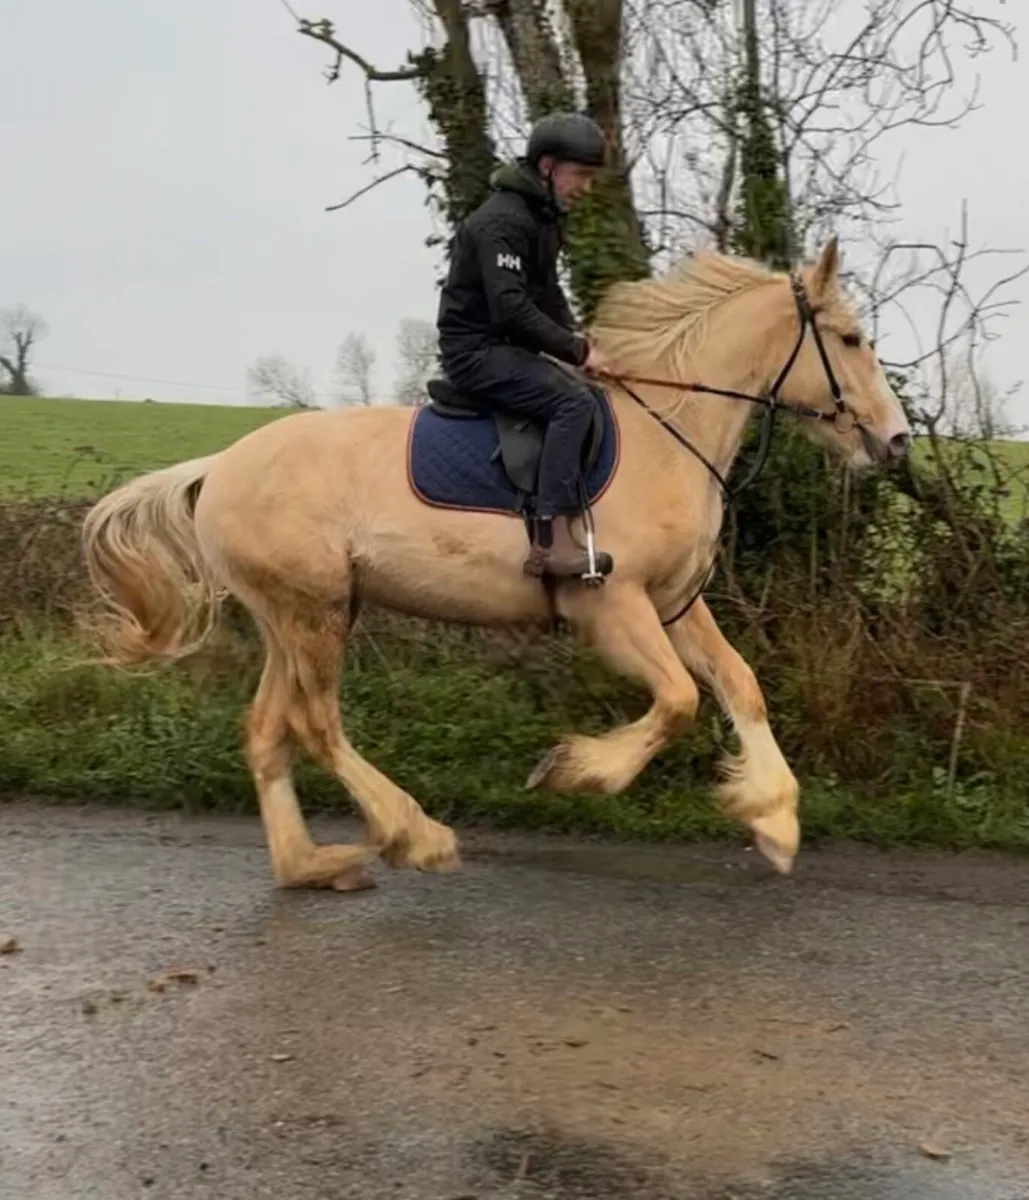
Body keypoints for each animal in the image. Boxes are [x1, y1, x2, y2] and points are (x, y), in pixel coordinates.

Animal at [80, 237, 910, 892]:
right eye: (849, 338)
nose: (896, 440)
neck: (666, 432)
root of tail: (218, 466)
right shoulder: (610, 604)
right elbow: (677, 700)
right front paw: (575, 771)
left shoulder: (675, 601)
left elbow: (739, 685)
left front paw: (773, 820)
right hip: (309, 612)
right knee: (316, 724)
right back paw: (414, 837)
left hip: (301, 614)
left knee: (266, 730)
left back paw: (310, 865)